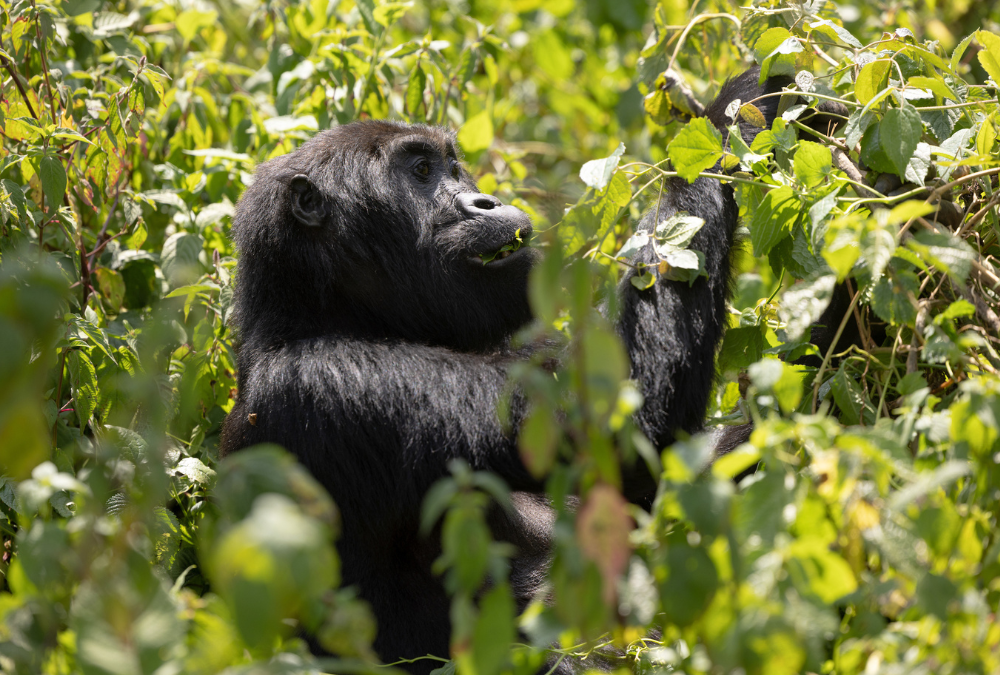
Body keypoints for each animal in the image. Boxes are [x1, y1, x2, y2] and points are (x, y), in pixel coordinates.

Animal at [221, 67, 828, 672]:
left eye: (452, 166)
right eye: (420, 172)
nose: (484, 200)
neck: (325, 311)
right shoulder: (333, 385)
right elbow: (618, 426)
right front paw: (745, 102)